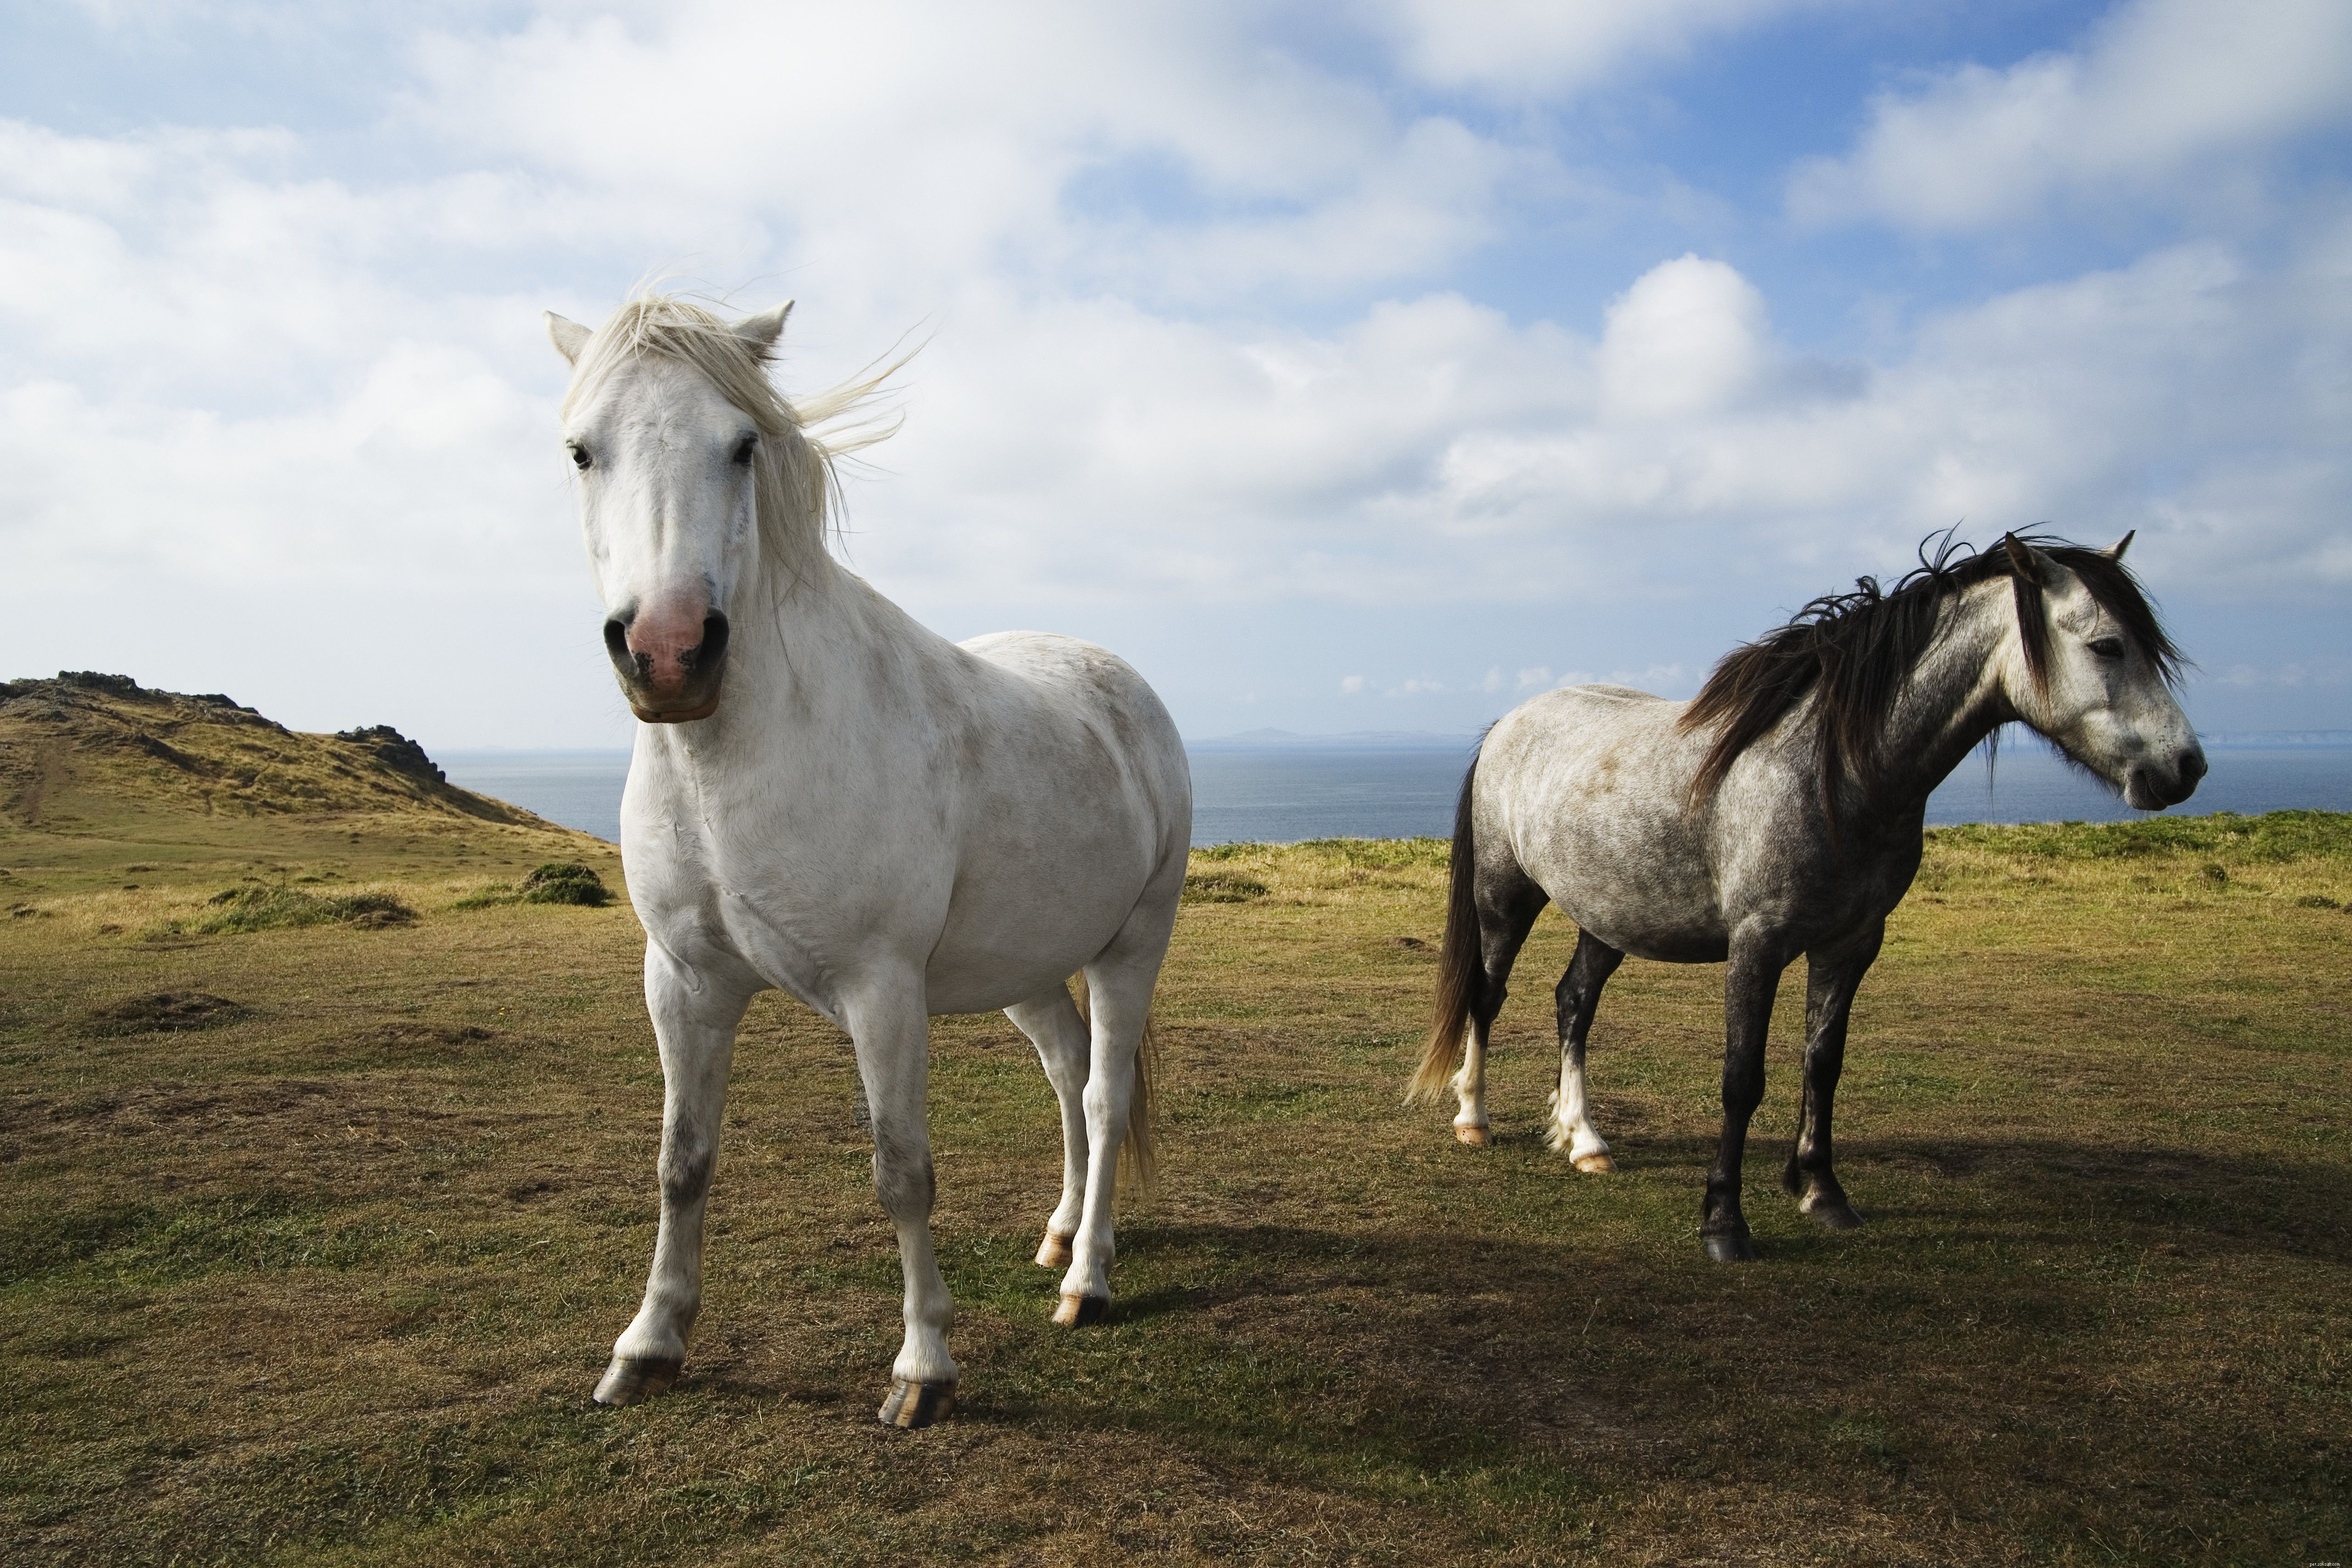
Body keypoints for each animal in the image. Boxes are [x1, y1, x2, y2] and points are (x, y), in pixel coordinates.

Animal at [542, 294, 1192, 1426]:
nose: (669, 653)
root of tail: (1119, 681)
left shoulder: (880, 989)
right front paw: (649, 1342)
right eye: (584, 449)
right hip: (1024, 969)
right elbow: (682, 1162)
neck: (735, 761)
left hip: (1132, 946)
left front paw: (922, 1365)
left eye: (742, 445)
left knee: (1106, 1095)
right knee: (1066, 1074)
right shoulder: (685, 981)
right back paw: (1062, 1230)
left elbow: (902, 1170)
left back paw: (1088, 1278)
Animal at [1410, 533, 2203, 1261]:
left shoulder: (1852, 944)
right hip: (1504, 900)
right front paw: (1724, 1222)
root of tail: (1509, 723)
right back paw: (1474, 1117)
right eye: (2107, 645)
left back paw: (1585, 1139)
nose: (2186, 766)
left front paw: (1822, 1192)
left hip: (1608, 917)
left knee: (1574, 1002)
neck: (1835, 772)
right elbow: (1742, 1079)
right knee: (1487, 995)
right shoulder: (1757, 946)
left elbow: (1824, 1064)